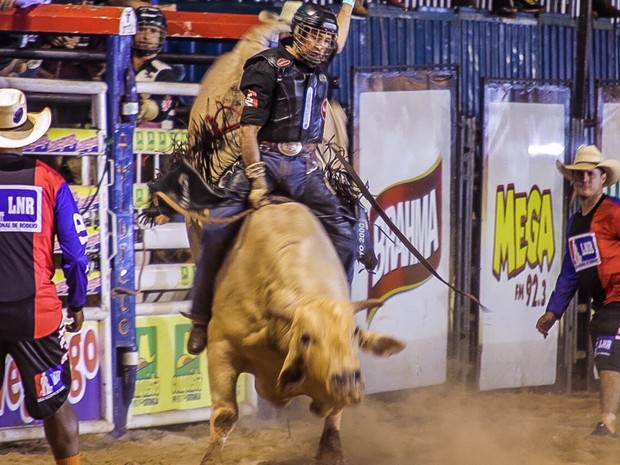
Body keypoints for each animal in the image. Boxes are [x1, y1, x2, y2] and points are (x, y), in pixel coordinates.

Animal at [201, 203, 406, 464]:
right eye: (305, 337)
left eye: (354, 334)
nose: (347, 379)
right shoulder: (221, 345)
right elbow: (224, 416)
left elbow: (332, 411)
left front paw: (331, 453)